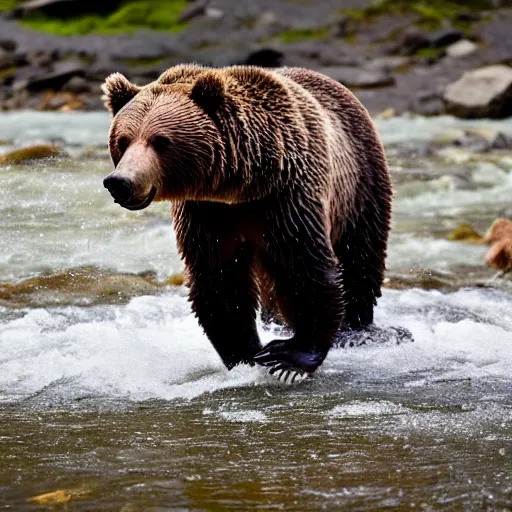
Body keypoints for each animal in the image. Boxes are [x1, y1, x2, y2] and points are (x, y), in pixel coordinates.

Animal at [103, 64, 392, 382]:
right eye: (123, 140)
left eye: (161, 141)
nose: (120, 182)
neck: (242, 186)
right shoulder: (206, 214)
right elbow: (219, 279)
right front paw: (246, 354)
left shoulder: (287, 195)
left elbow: (304, 265)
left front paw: (288, 357)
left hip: (359, 181)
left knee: (360, 252)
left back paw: (355, 328)